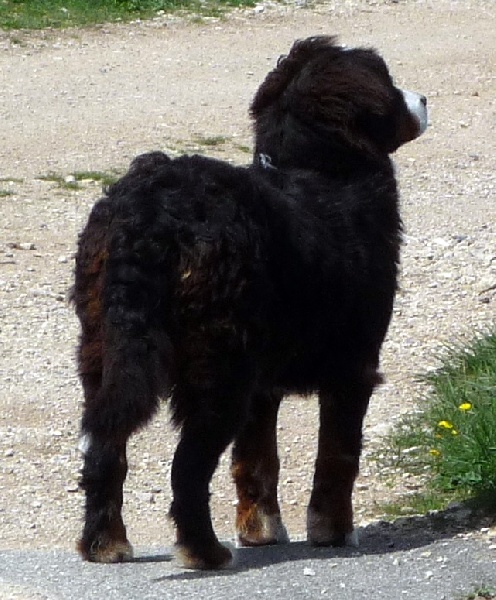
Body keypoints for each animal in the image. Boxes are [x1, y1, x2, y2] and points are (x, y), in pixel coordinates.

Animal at [72, 35, 426, 568]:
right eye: (388, 80)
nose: (423, 99)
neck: (322, 171)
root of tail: (151, 213)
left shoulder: (263, 384)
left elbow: (256, 460)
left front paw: (260, 530)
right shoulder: (352, 367)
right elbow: (337, 457)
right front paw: (333, 533)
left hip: (105, 355)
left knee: (104, 453)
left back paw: (104, 543)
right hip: (216, 373)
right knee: (187, 469)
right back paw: (204, 552)